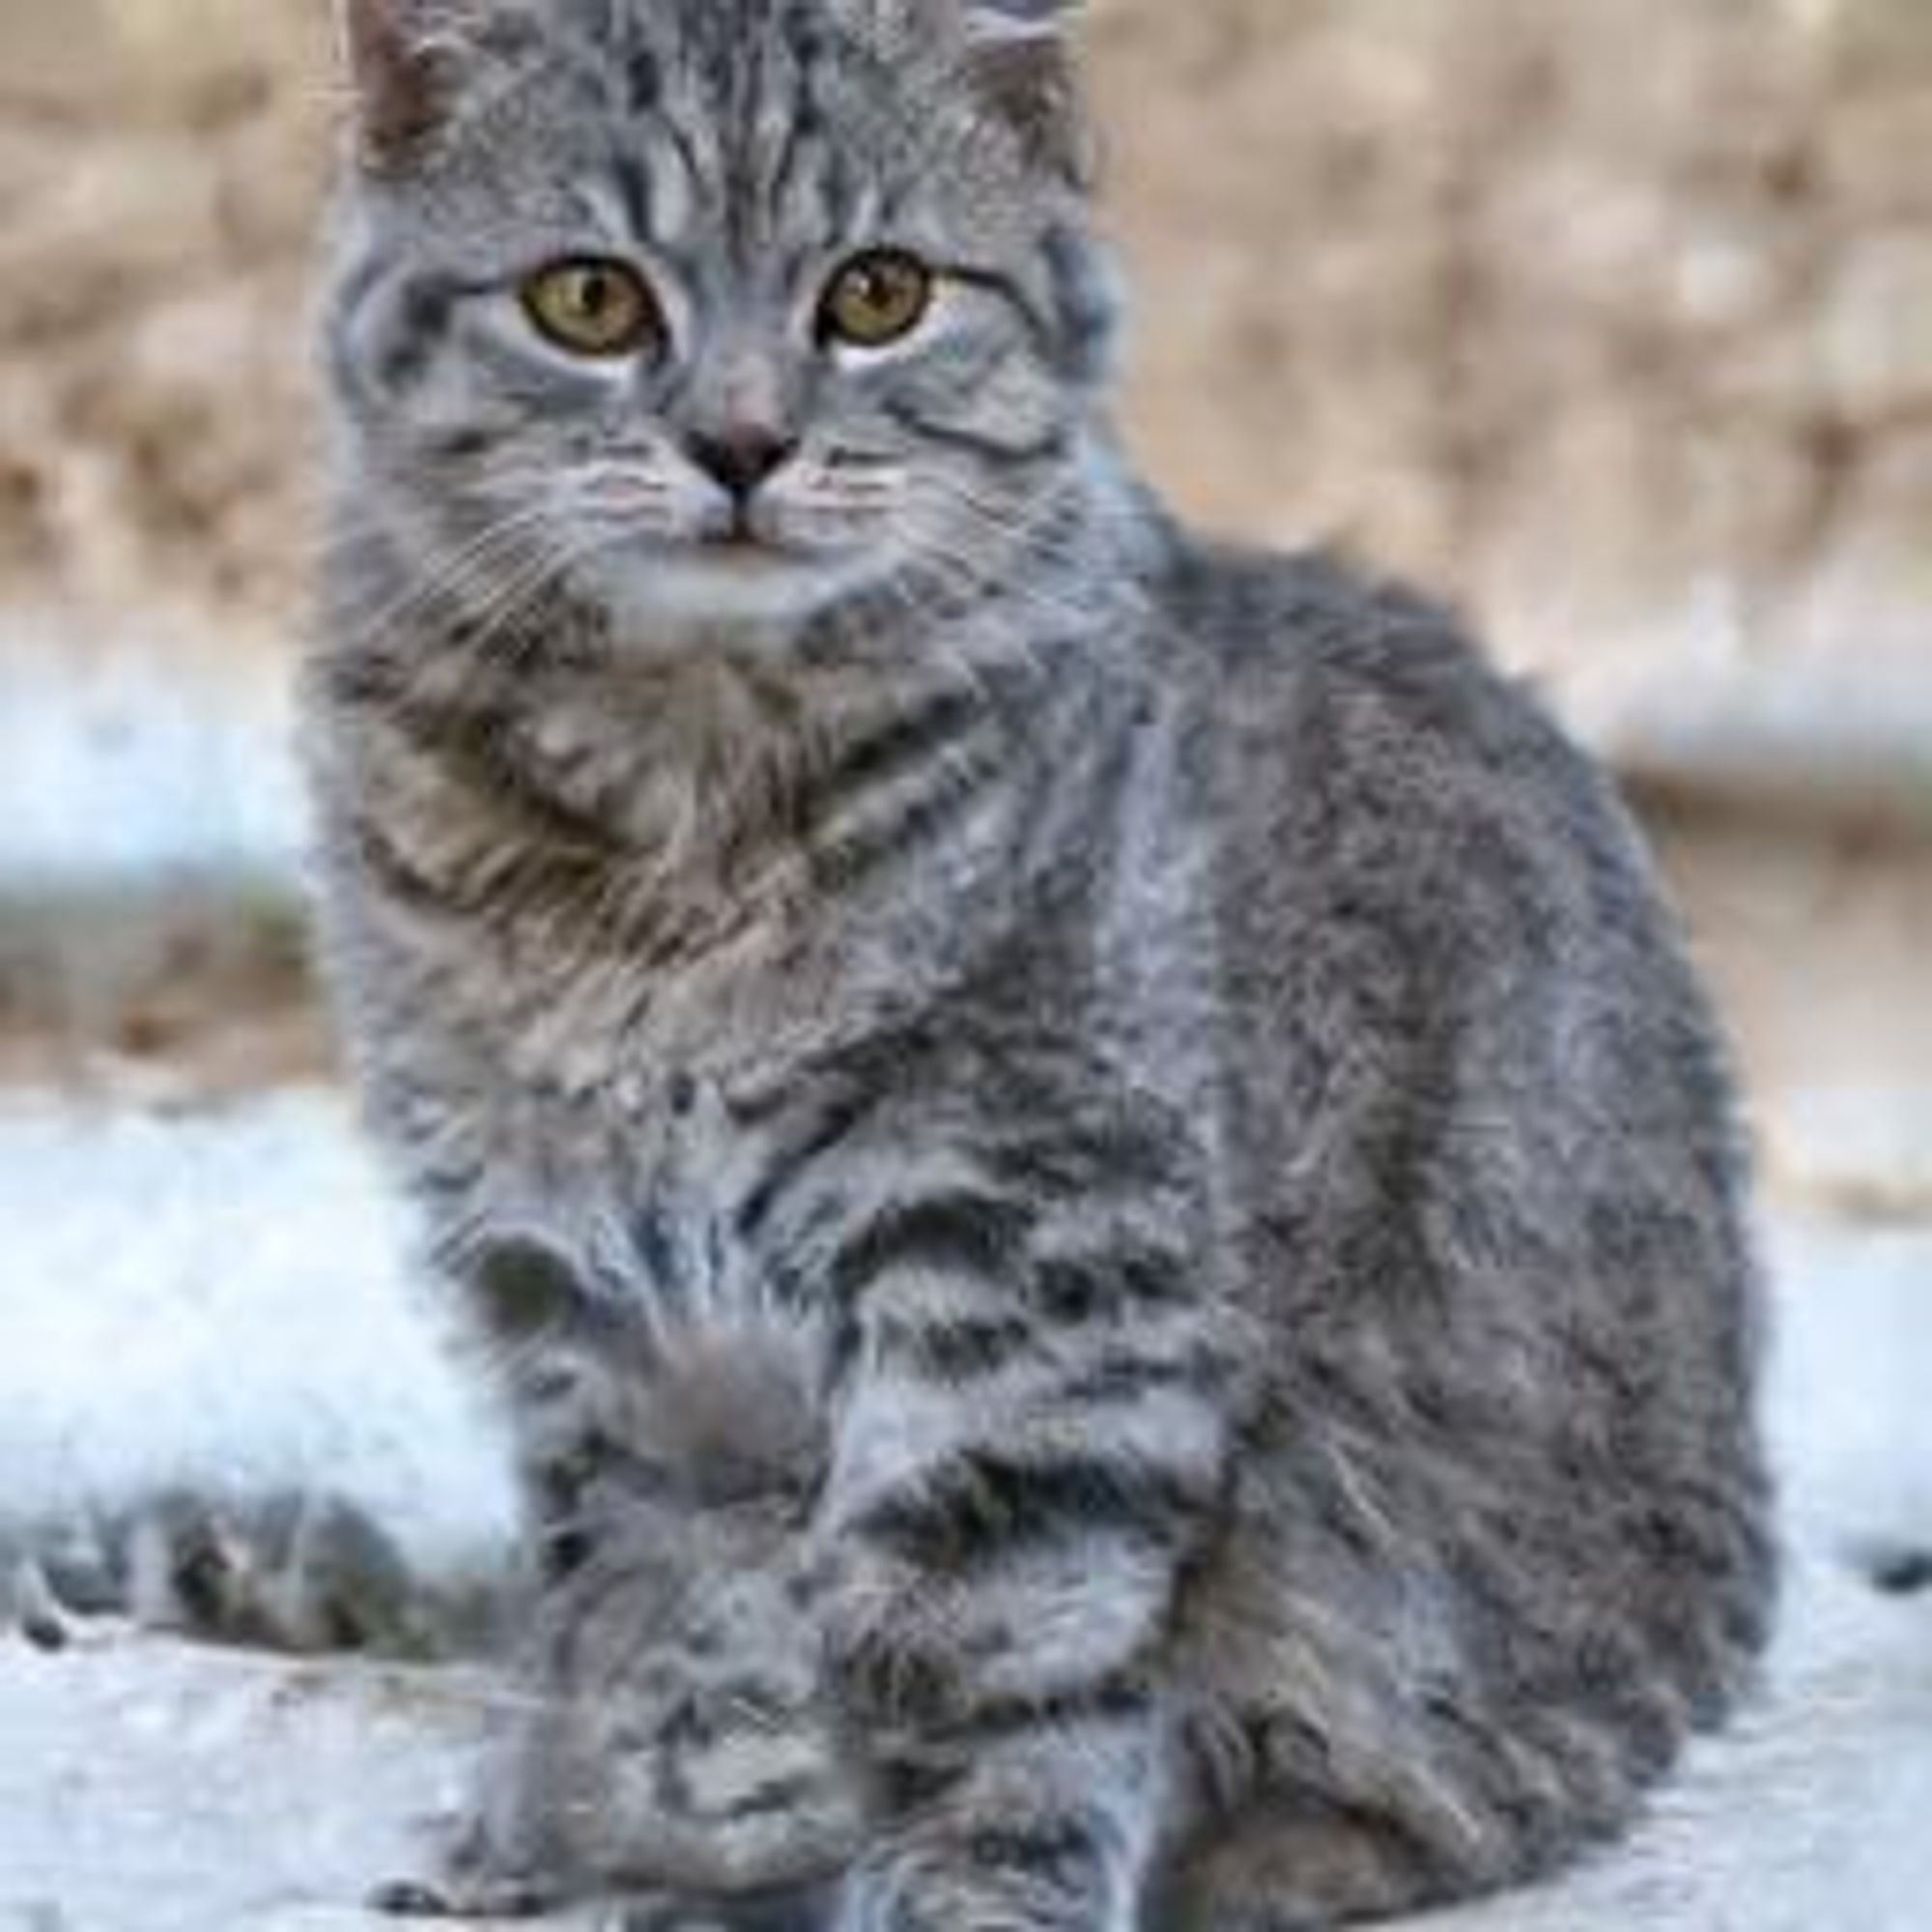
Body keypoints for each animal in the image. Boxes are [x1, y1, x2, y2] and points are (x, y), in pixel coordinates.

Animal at [305, 3, 1777, 1932]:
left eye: (876, 294)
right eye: (589, 302)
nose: (741, 443)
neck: (677, 811)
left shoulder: (1032, 1260)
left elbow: (979, 1648)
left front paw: (954, 1886)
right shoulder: (569, 1287)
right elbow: (623, 1616)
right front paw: (564, 1843)